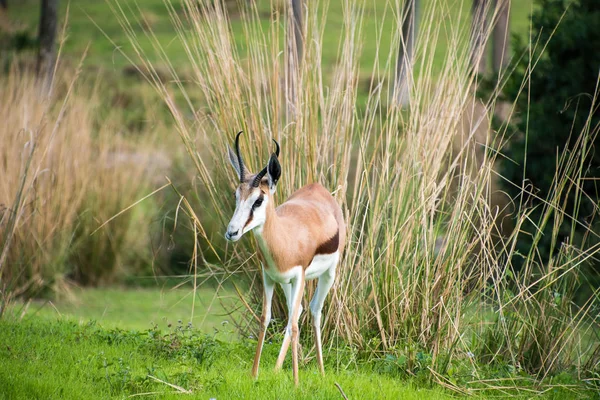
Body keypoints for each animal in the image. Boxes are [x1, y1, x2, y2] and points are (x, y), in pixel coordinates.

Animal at [225, 130, 344, 384]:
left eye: (258, 200)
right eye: (236, 195)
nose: (232, 232)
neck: (284, 241)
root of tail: (318, 188)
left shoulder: (299, 276)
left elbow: (296, 325)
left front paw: (297, 383)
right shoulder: (269, 276)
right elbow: (265, 318)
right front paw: (254, 374)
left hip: (327, 274)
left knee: (314, 311)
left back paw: (321, 371)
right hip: (286, 283)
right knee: (295, 312)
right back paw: (278, 369)